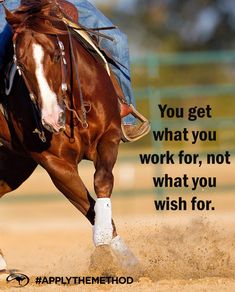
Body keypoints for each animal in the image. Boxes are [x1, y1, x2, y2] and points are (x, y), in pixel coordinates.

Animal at [0, 0, 138, 274]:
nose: (51, 119)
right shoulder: (56, 165)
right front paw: (105, 254)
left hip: (15, 165)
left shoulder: (109, 135)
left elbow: (101, 183)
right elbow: (88, 206)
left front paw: (124, 258)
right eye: (20, 65)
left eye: (56, 54)